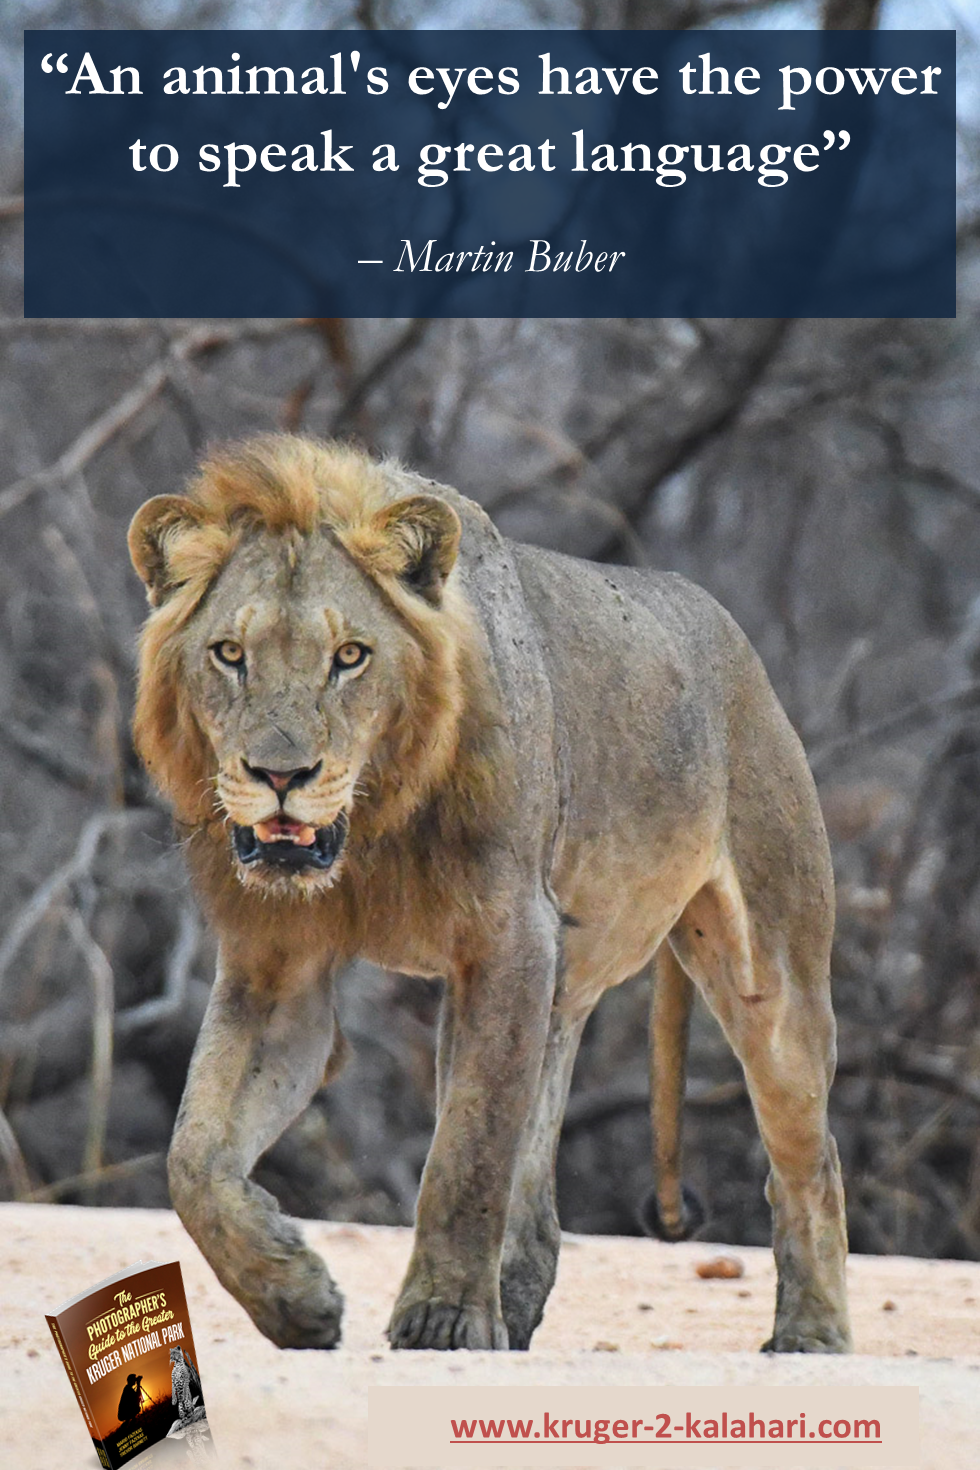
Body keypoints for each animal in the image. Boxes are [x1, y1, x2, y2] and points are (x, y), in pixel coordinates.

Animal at [128, 434, 850, 1355]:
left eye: (350, 657)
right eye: (229, 654)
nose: (280, 775)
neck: (374, 829)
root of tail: (722, 623)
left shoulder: (511, 942)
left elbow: (465, 1154)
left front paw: (443, 1320)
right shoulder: (276, 972)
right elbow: (193, 1159)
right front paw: (296, 1297)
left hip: (770, 975)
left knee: (811, 1160)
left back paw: (812, 1335)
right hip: (565, 984)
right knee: (536, 1199)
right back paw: (516, 1302)